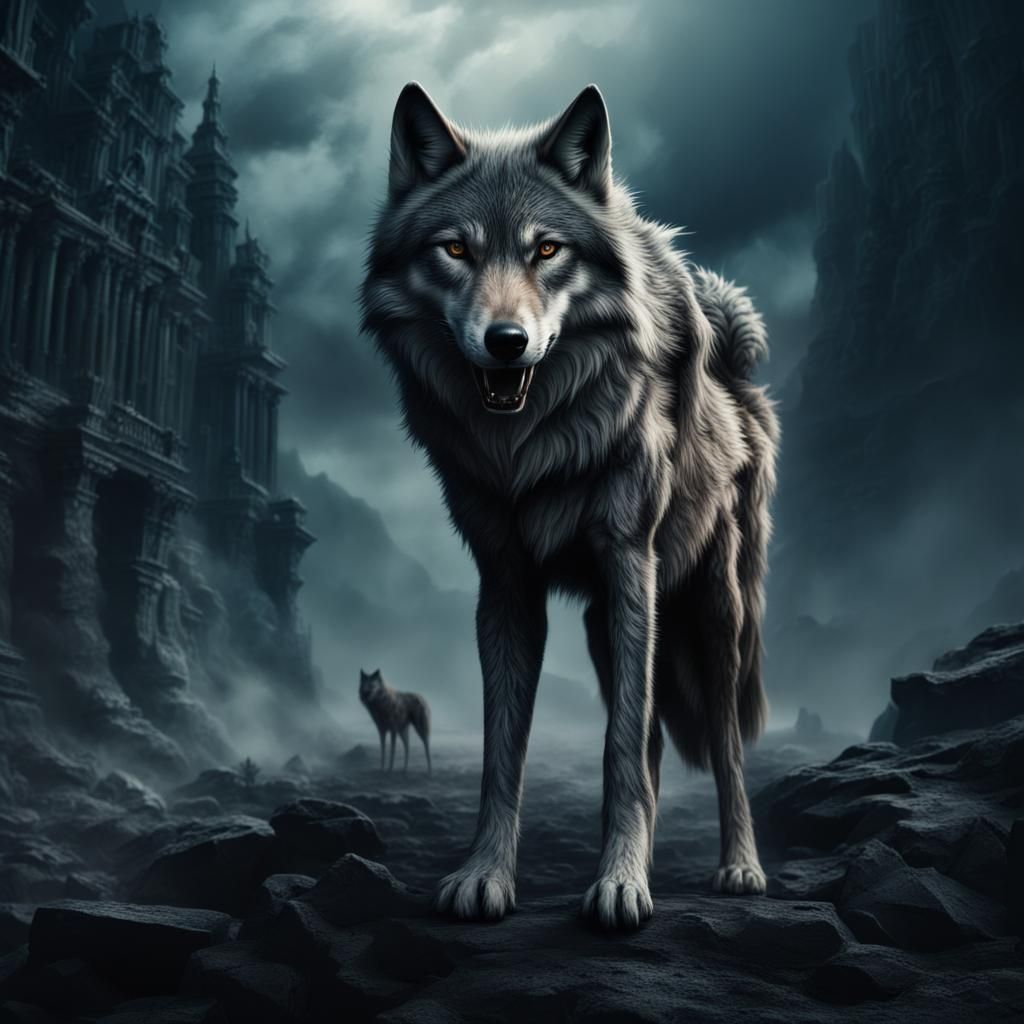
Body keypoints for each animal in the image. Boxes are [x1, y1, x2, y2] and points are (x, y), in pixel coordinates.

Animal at [361, 82, 779, 930]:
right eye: (455, 250)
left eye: (546, 250)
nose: (506, 341)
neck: (535, 448)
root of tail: (738, 364)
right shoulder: (506, 584)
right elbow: (506, 749)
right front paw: (486, 874)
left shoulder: (628, 563)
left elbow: (620, 750)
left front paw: (620, 884)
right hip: (604, 626)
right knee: (650, 742)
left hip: (709, 615)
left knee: (722, 749)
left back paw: (740, 868)